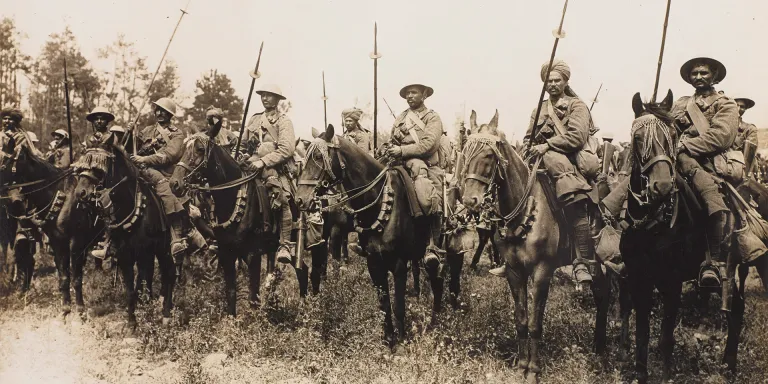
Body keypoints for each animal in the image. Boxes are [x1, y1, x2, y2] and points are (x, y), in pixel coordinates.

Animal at [298, 125, 448, 344]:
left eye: (318, 157)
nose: (300, 199)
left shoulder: (398, 264)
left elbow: (398, 307)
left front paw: (401, 340)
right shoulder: (374, 262)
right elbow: (384, 305)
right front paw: (388, 340)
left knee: (437, 279)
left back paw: (436, 320)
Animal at [460, 110, 616, 384]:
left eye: (488, 155)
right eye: (465, 153)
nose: (470, 201)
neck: (525, 208)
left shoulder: (542, 272)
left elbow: (535, 322)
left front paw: (533, 370)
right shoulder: (514, 272)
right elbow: (521, 319)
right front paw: (522, 366)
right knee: (602, 294)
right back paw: (598, 346)